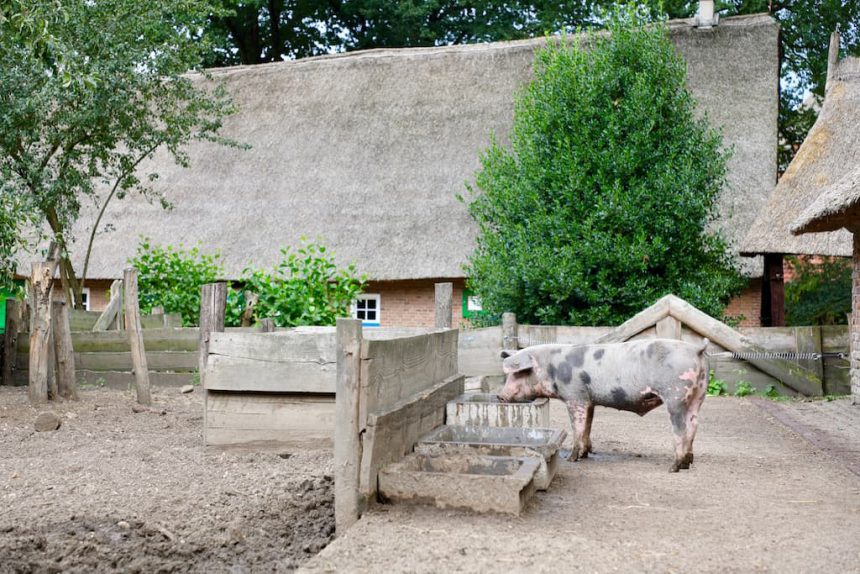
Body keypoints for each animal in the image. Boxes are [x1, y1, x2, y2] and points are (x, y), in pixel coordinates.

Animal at [500, 338, 708, 472]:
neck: (552, 370)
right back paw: (687, 463)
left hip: (676, 396)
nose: (499, 396)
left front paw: (572, 459)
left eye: (517, 374)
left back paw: (674, 467)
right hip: (698, 395)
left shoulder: (575, 397)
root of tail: (696, 349)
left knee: (680, 428)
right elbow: (587, 426)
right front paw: (585, 454)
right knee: (694, 424)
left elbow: (577, 427)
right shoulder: (589, 401)